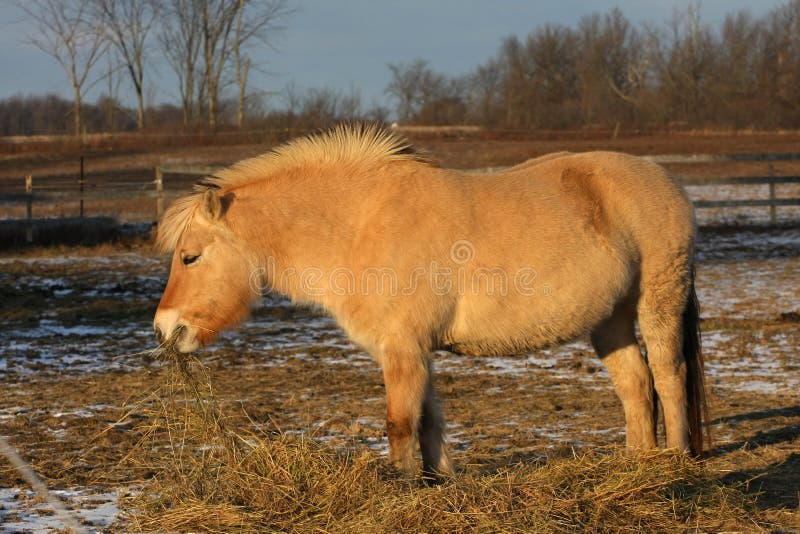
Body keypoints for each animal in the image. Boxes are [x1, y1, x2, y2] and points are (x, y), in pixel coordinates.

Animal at [153, 123, 708, 480]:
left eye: (190, 257)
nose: (165, 329)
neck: (359, 225)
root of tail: (666, 180)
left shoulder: (402, 349)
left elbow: (400, 424)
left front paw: (401, 487)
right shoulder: (414, 350)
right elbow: (429, 420)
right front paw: (440, 481)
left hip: (658, 301)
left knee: (668, 376)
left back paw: (677, 463)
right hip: (609, 319)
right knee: (636, 385)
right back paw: (637, 466)